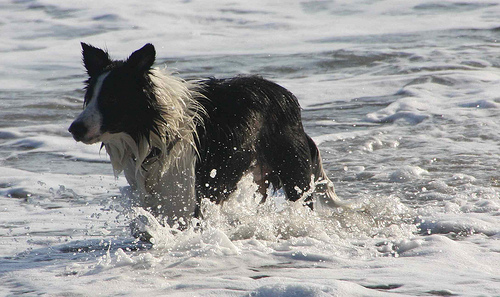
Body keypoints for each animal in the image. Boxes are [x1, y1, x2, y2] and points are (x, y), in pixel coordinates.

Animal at [68, 43, 342, 229]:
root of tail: (288, 98)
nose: (74, 129)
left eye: (112, 99)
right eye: (90, 97)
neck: (157, 133)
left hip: (294, 174)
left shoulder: (185, 200)